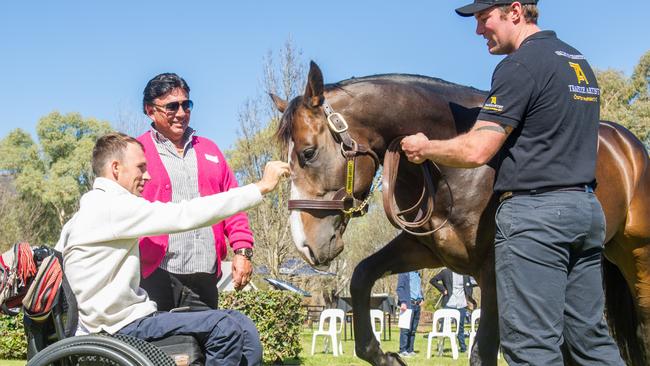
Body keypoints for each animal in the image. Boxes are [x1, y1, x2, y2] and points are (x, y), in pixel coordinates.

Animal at [270, 61, 648, 364]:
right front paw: (386, 356)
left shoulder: (493, 272)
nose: (304, 244)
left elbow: (484, 352)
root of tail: (628, 146)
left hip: (636, 257)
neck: (456, 167)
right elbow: (362, 276)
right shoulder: (424, 248)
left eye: (308, 153)